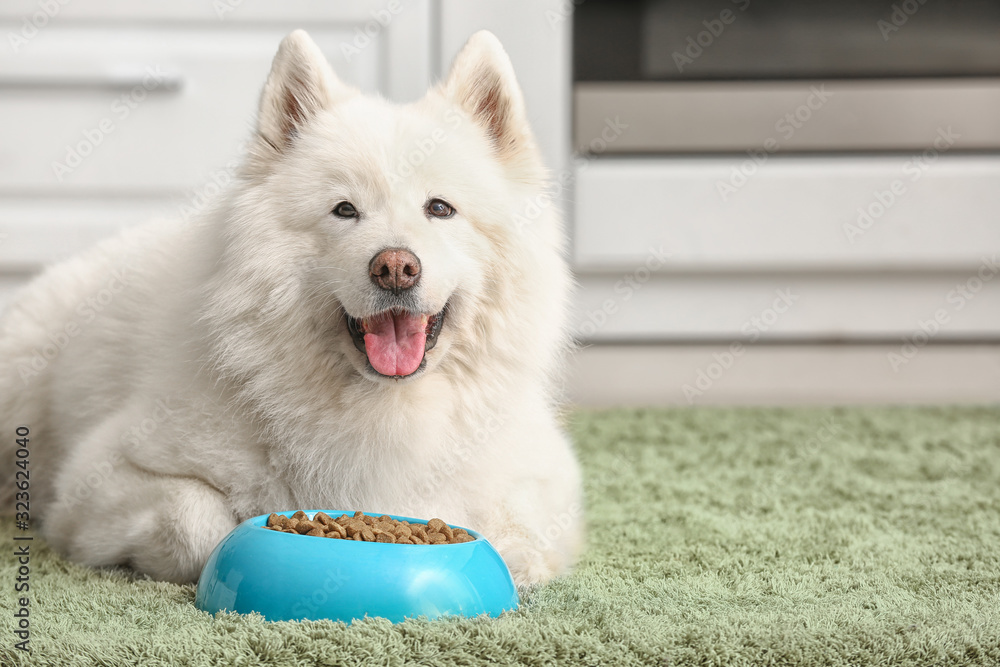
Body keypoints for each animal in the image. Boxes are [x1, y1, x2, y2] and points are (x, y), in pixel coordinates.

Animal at [0, 30, 584, 584]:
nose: (395, 267)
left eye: (440, 208)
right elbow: (199, 520)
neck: (383, 407)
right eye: (345, 210)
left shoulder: (545, 474)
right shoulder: (96, 478)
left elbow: (516, 527)